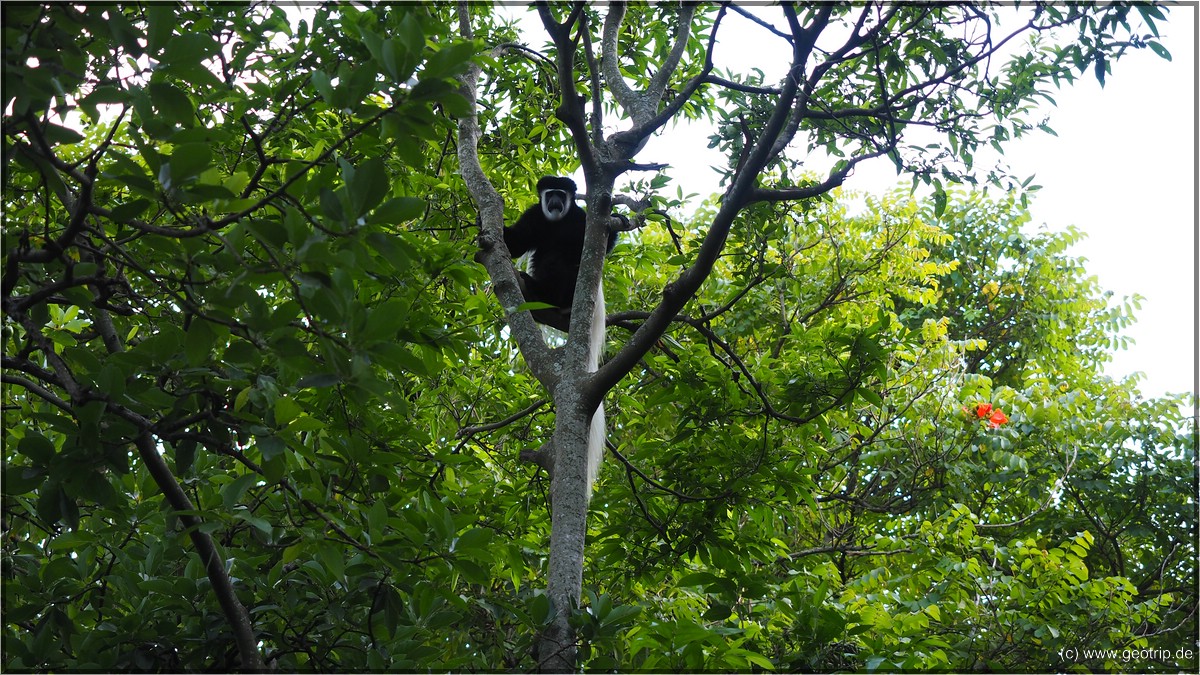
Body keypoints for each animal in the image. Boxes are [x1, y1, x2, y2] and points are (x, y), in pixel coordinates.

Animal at [504, 174, 624, 494]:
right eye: (550, 194)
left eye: (562, 194)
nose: (556, 202)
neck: (557, 222)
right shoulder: (534, 216)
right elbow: (514, 243)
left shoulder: (581, 220)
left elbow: (603, 245)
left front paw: (619, 218)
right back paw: (530, 290)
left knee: (569, 267)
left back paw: (559, 303)